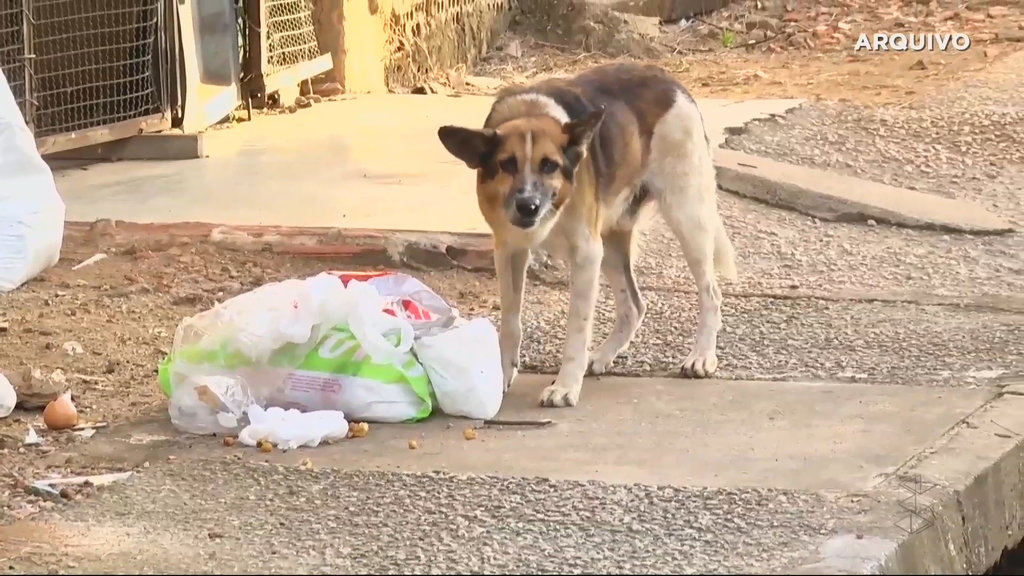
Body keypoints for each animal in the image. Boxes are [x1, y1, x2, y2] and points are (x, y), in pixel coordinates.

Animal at [436, 60, 741, 405]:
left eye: (549, 165)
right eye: (507, 165)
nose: (528, 207)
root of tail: (668, 79)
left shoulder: (585, 254)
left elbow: (576, 328)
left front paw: (565, 386)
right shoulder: (509, 250)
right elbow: (511, 321)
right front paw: (500, 376)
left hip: (687, 217)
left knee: (711, 293)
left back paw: (702, 357)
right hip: (610, 241)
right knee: (634, 306)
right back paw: (603, 356)